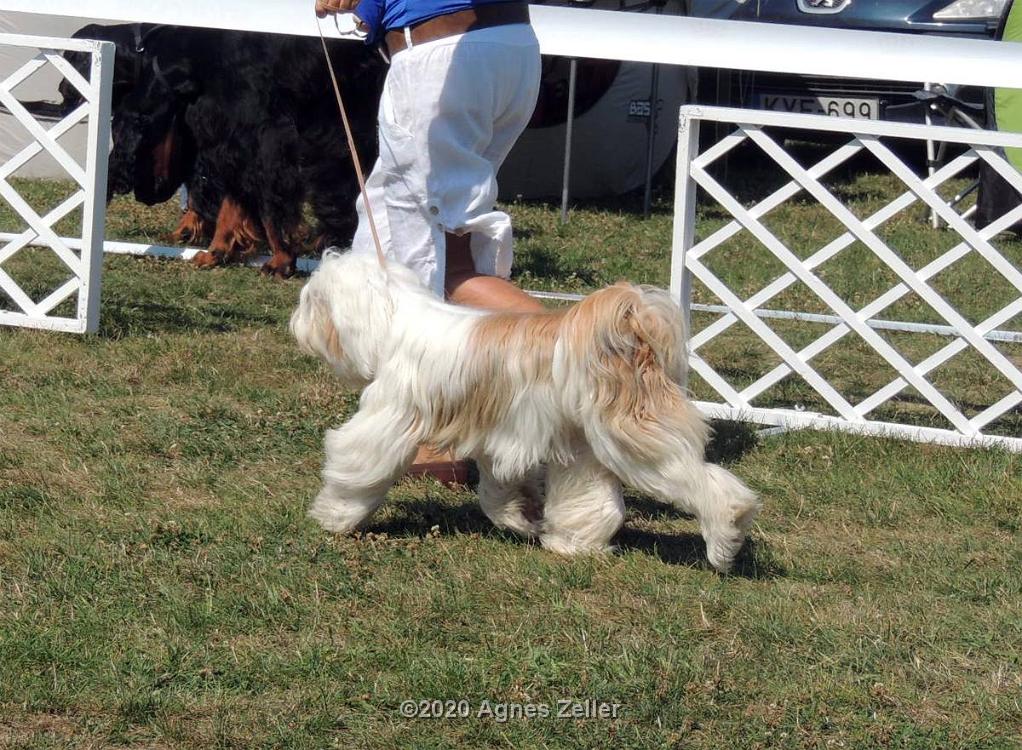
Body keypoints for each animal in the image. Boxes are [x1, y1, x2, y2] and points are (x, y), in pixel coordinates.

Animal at [290, 249, 760, 572]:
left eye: (310, 300)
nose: (295, 323)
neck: (395, 319)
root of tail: (630, 328)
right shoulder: (503, 441)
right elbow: (501, 493)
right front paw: (521, 522)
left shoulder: (388, 419)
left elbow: (355, 464)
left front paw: (334, 516)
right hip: (583, 450)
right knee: (593, 503)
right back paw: (573, 544)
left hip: (634, 436)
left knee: (702, 482)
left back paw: (726, 536)